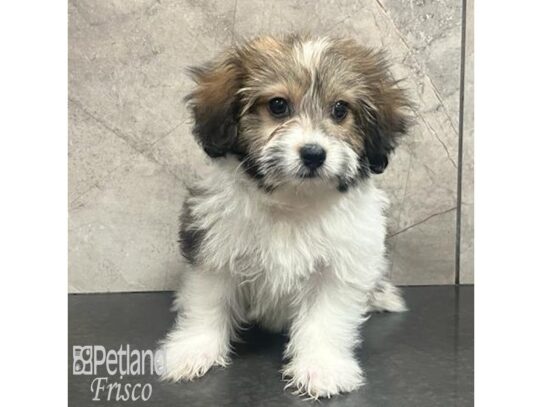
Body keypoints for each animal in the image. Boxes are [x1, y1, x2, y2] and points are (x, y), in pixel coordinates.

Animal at [160, 33, 412, 400]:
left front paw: (321, 367)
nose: (313, 154)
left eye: (340, 110)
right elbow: (208, 302)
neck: (293, 200)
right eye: (278, 106)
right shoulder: (215, 248)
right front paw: (194, 350)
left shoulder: (340, 266)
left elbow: (325, 318)